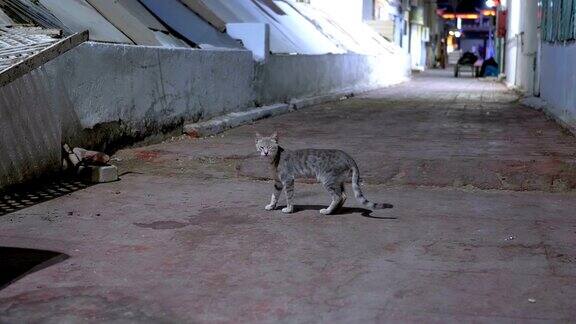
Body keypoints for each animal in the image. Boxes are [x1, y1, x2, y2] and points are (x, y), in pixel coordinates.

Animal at [255, 132, 392, 215]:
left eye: (270, 147)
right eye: (261, 147)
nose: (265, 153)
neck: (274, 160)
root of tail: (348, 156)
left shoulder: (288, 180)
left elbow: (289, 196)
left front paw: (289, 209)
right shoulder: (278, 182)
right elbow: (274, 195)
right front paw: (271, 206)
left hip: (327, 180)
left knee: (337, 196)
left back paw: (327, 211)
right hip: (337, 181)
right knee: (343, 196)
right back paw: (335, 210)